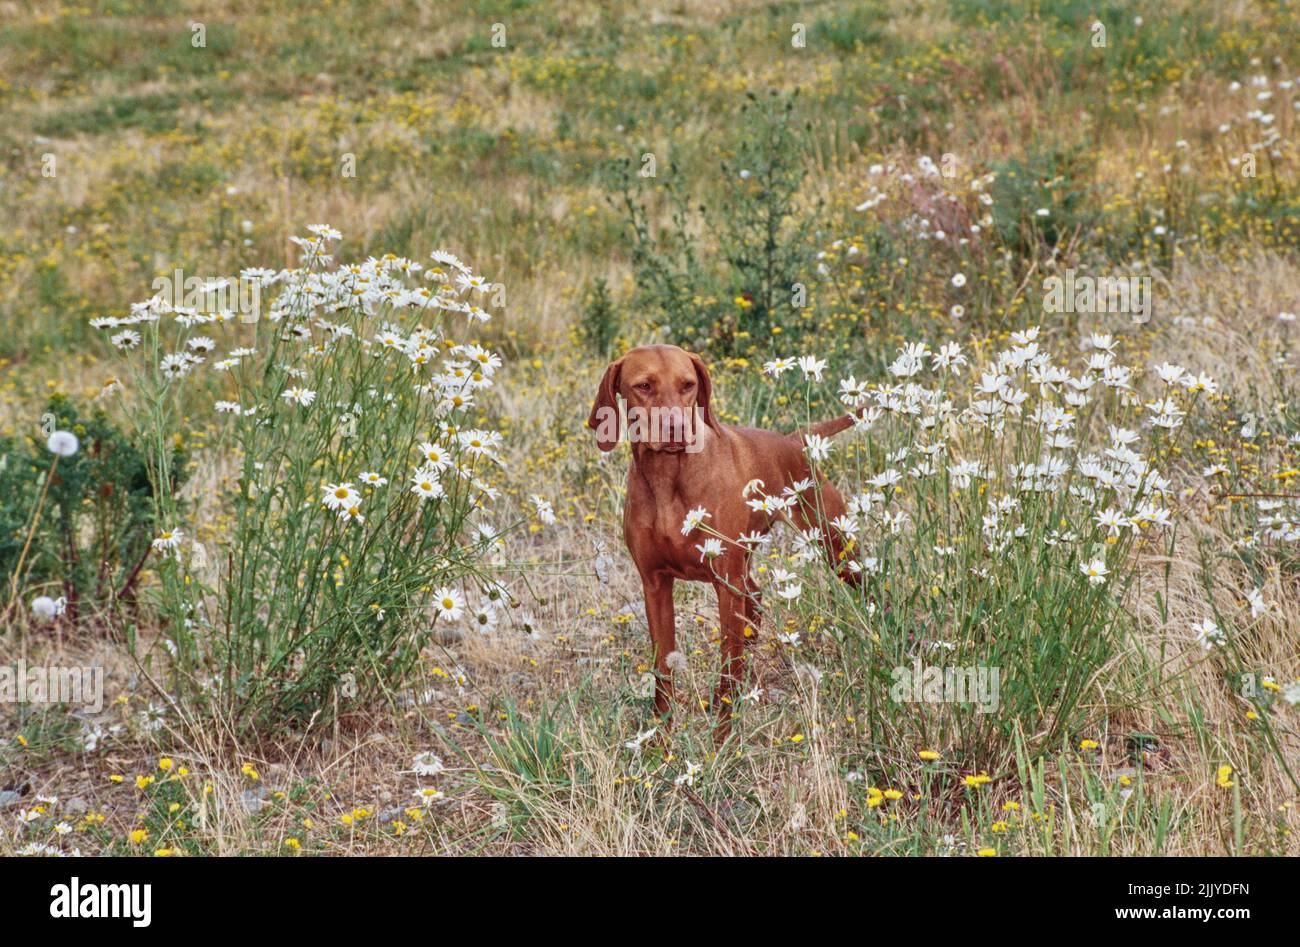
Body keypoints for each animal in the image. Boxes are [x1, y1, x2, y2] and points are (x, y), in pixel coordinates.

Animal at [592, 343, 863, 744]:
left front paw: (723, 740)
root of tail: (793, 439)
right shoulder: (655, 584)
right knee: (756, 597)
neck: (669, 477)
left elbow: (727, 672)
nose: (676, 428)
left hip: (834, 545)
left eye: (688, 385)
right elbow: (663, 671)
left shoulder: (725, 583)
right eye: (643, 385)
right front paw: (661, 738)